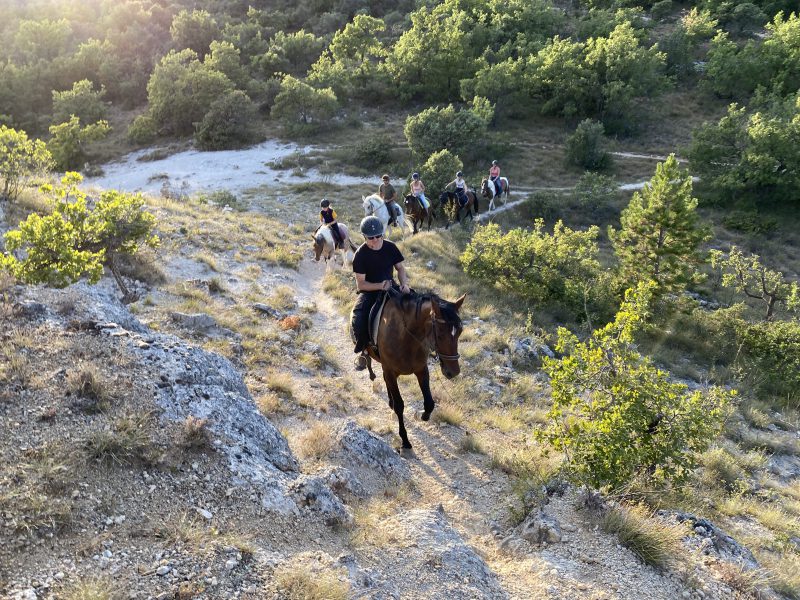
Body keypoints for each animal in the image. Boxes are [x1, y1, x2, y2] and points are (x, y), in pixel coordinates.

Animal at [362, 290, 462, 450]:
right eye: (440, 334)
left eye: (460, 332)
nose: (453, 372)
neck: (406, 336)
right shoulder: (390, 371)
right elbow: (399, 405)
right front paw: (405, 440)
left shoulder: (421, 370)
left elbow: (430, 403)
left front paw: (421, 415)